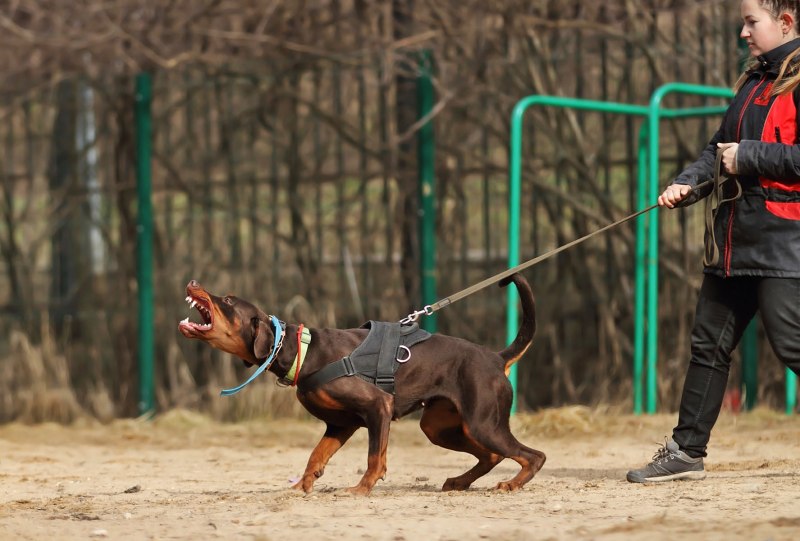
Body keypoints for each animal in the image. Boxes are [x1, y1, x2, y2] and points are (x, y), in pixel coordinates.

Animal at [179, 272, 548, 496]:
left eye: (228, 301)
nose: (193, 281)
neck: (303, 351)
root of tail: (497, 358)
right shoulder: (340, 424)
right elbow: (315, 456)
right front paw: (302, 486)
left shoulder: (377, 408)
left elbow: (375, 458)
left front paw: (360, 489)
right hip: (439, 426)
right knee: (491, 455)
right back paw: (459, 481)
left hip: (483, 423)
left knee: (533, 455)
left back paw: (512, 484)